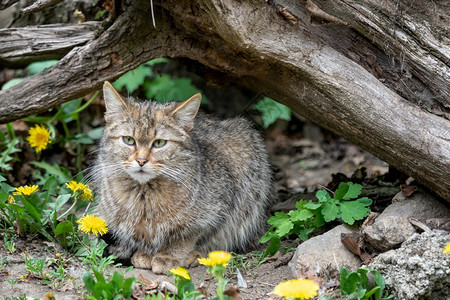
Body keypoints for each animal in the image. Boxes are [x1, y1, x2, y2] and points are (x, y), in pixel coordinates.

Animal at [93, 81, 272, 274]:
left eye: (159, 143)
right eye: (128, 140)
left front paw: (170, 255)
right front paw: (147, 252)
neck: (145, 195)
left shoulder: (217, 209)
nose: (141, 161)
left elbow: (186, 236)